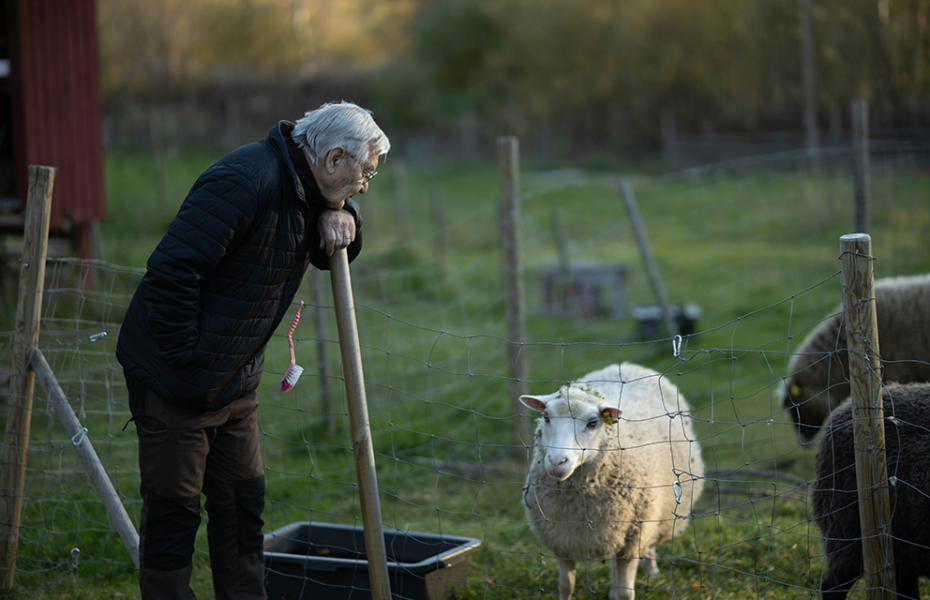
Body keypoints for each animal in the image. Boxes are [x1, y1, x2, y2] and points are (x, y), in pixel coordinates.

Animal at [516, 364, 704, 596]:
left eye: (592, 422)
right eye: (546, 416)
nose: (557, 462)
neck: (580, 508)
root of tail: (630, 366)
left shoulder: (633, 536)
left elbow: (626, 592)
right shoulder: (560, 538)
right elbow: (566, 585)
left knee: (648, 546)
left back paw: (651, 571)